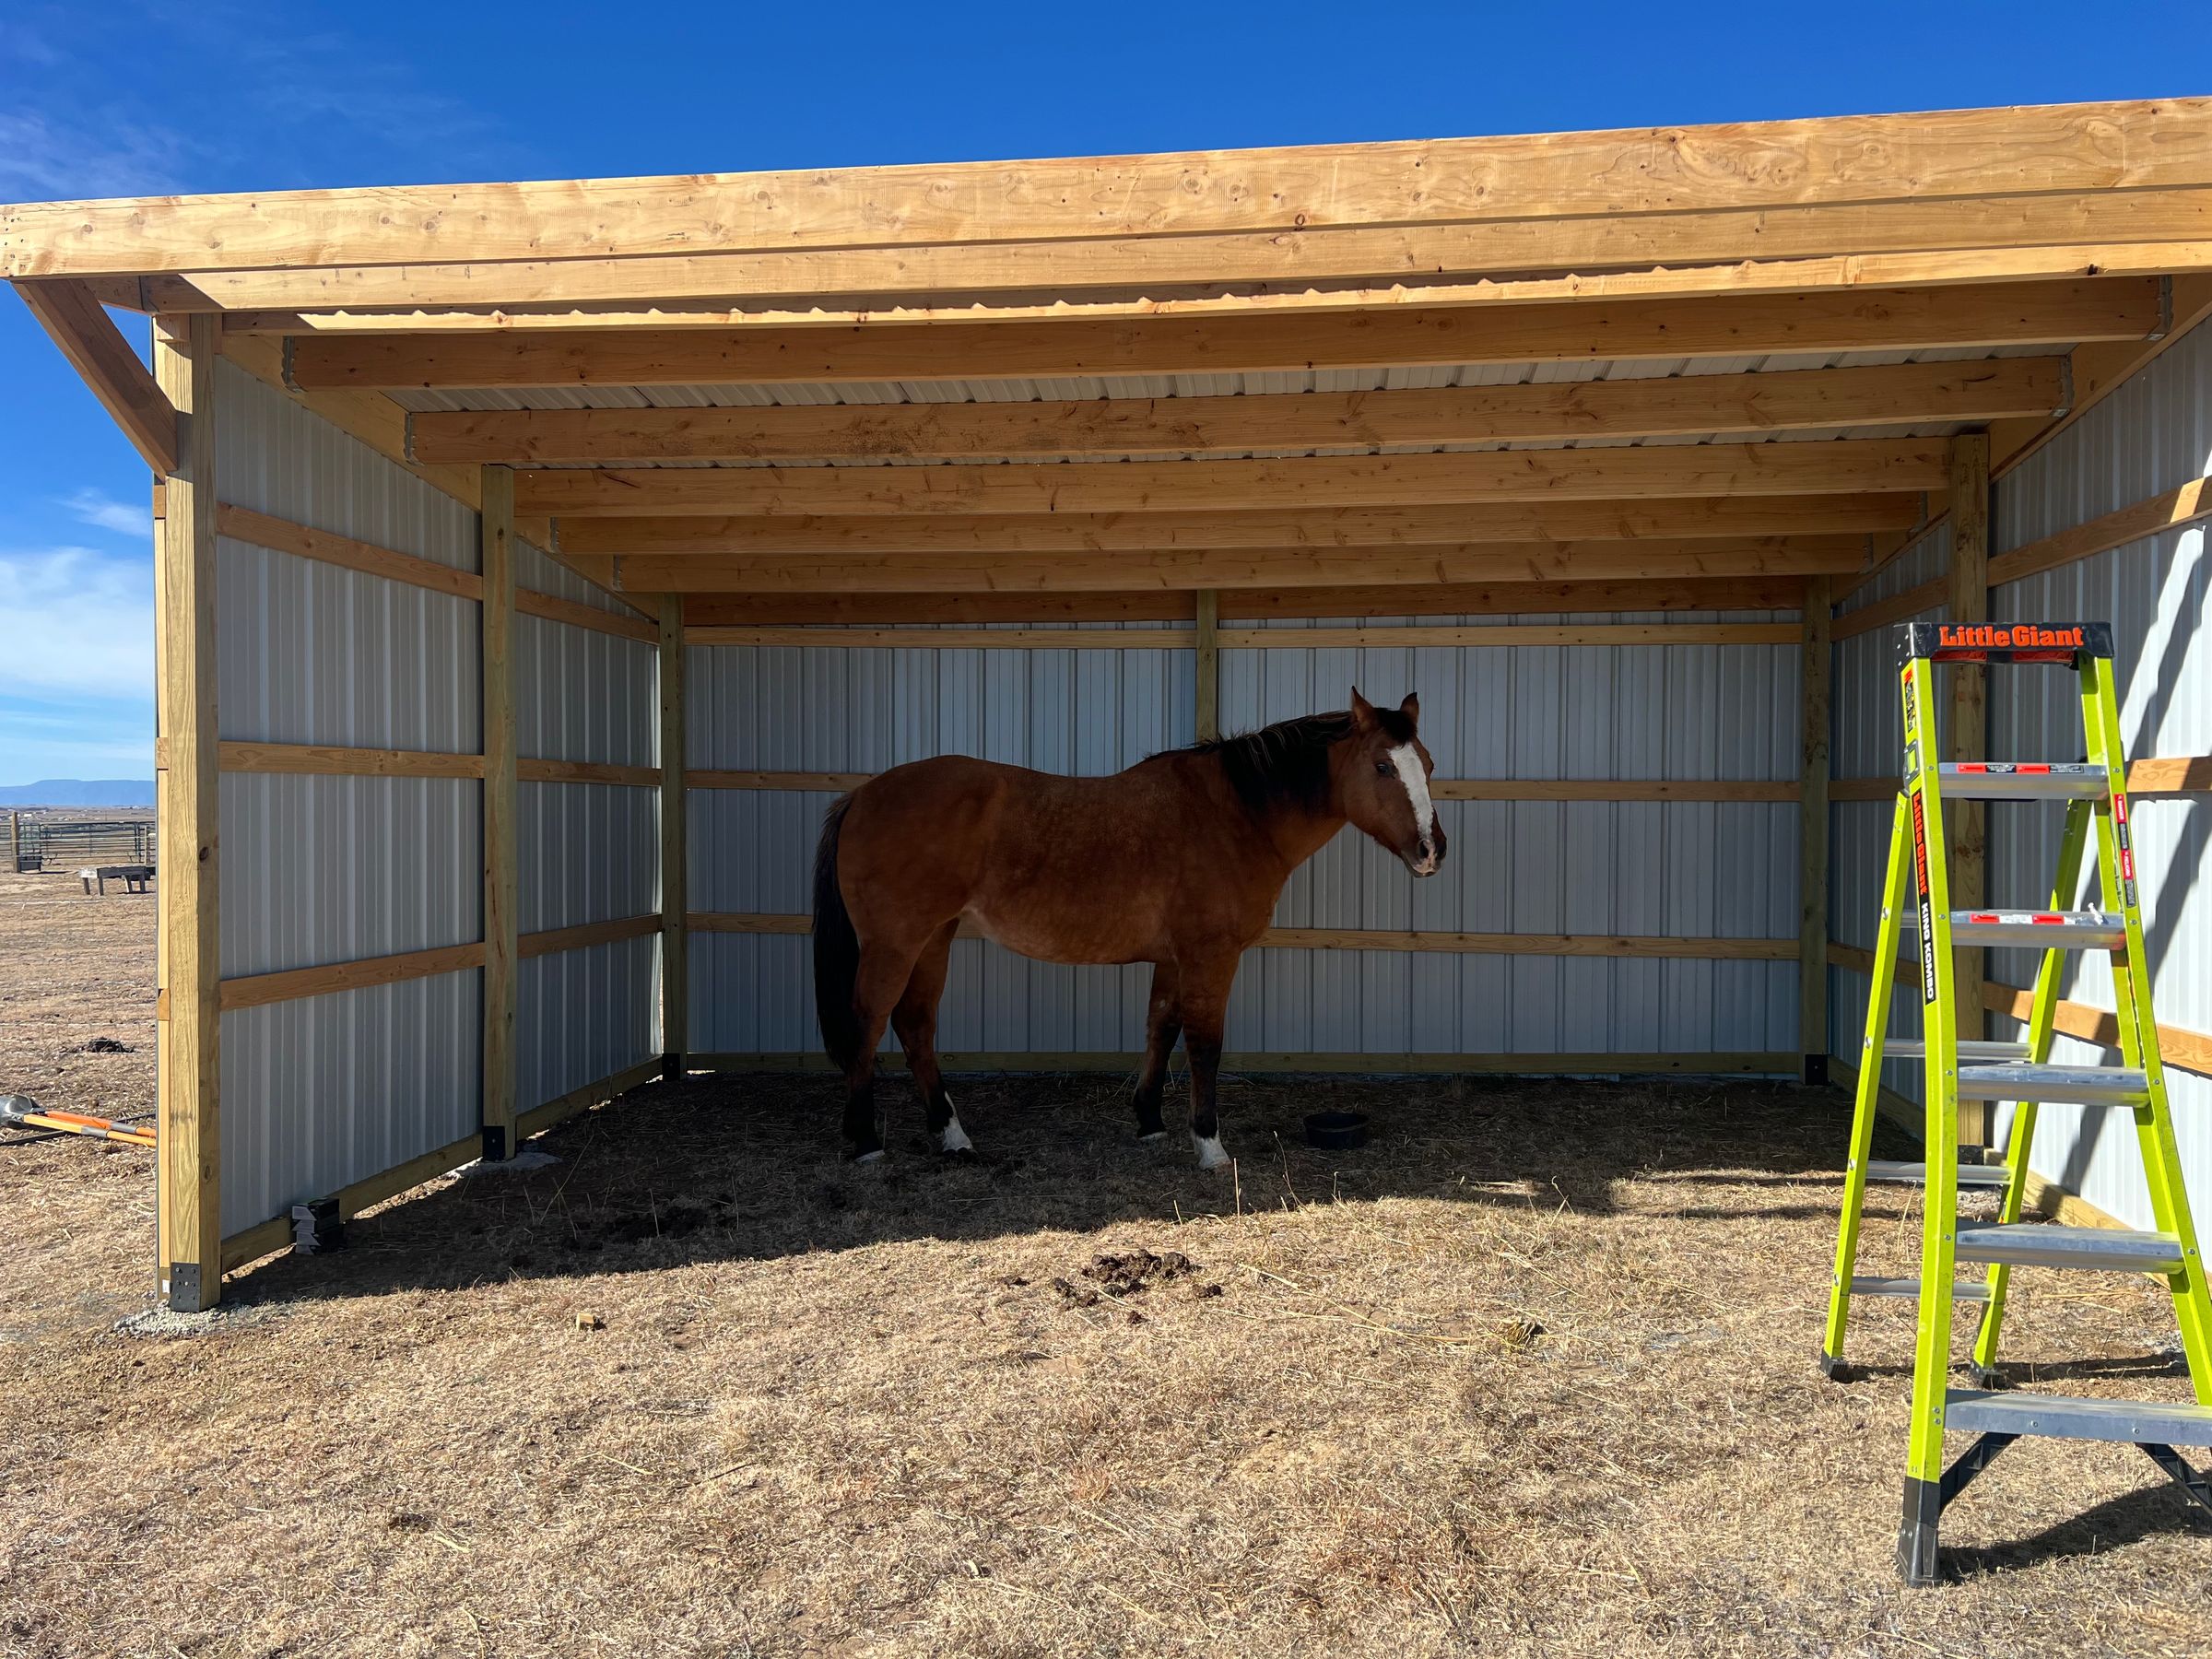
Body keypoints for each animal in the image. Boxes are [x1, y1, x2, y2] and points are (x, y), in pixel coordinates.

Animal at [810, 689, 1446, 1168]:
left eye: (1429, 764)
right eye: (1383, 765)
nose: (1432, 850)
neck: (1235, 813)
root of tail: (861, 795)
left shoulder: (1171, 958)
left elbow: (1160, 1029)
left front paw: (1150, 1121)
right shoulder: (1210, 956)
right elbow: (1204, 1044)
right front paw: (1209, 1145)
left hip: (933, 940)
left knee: (915, 1026)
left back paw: (952, 1135)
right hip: (895, 944)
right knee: (869, 1024)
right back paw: (865, 1141)